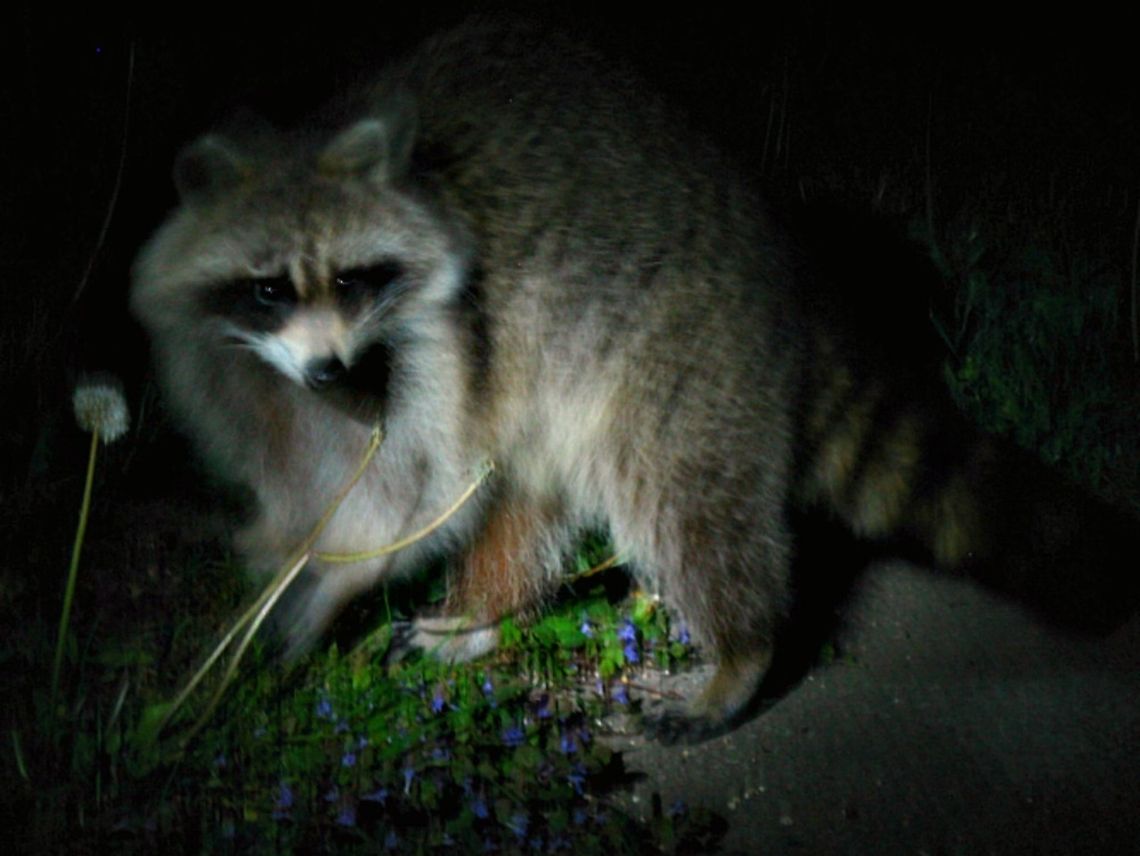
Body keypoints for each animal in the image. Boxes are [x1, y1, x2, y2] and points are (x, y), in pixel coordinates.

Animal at [132, 20, 1136, 741]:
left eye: (350, 280)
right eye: (268, 288)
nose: (331, 366)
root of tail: (790, 280)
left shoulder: (447, 338)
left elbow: (422, 486)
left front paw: (331, 584)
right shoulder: (247, 371)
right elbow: (309, 469)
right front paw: (283, 558)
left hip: (678, 352)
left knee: (679, 506)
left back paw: (740, 652)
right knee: (527, 500)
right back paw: (485, 613)